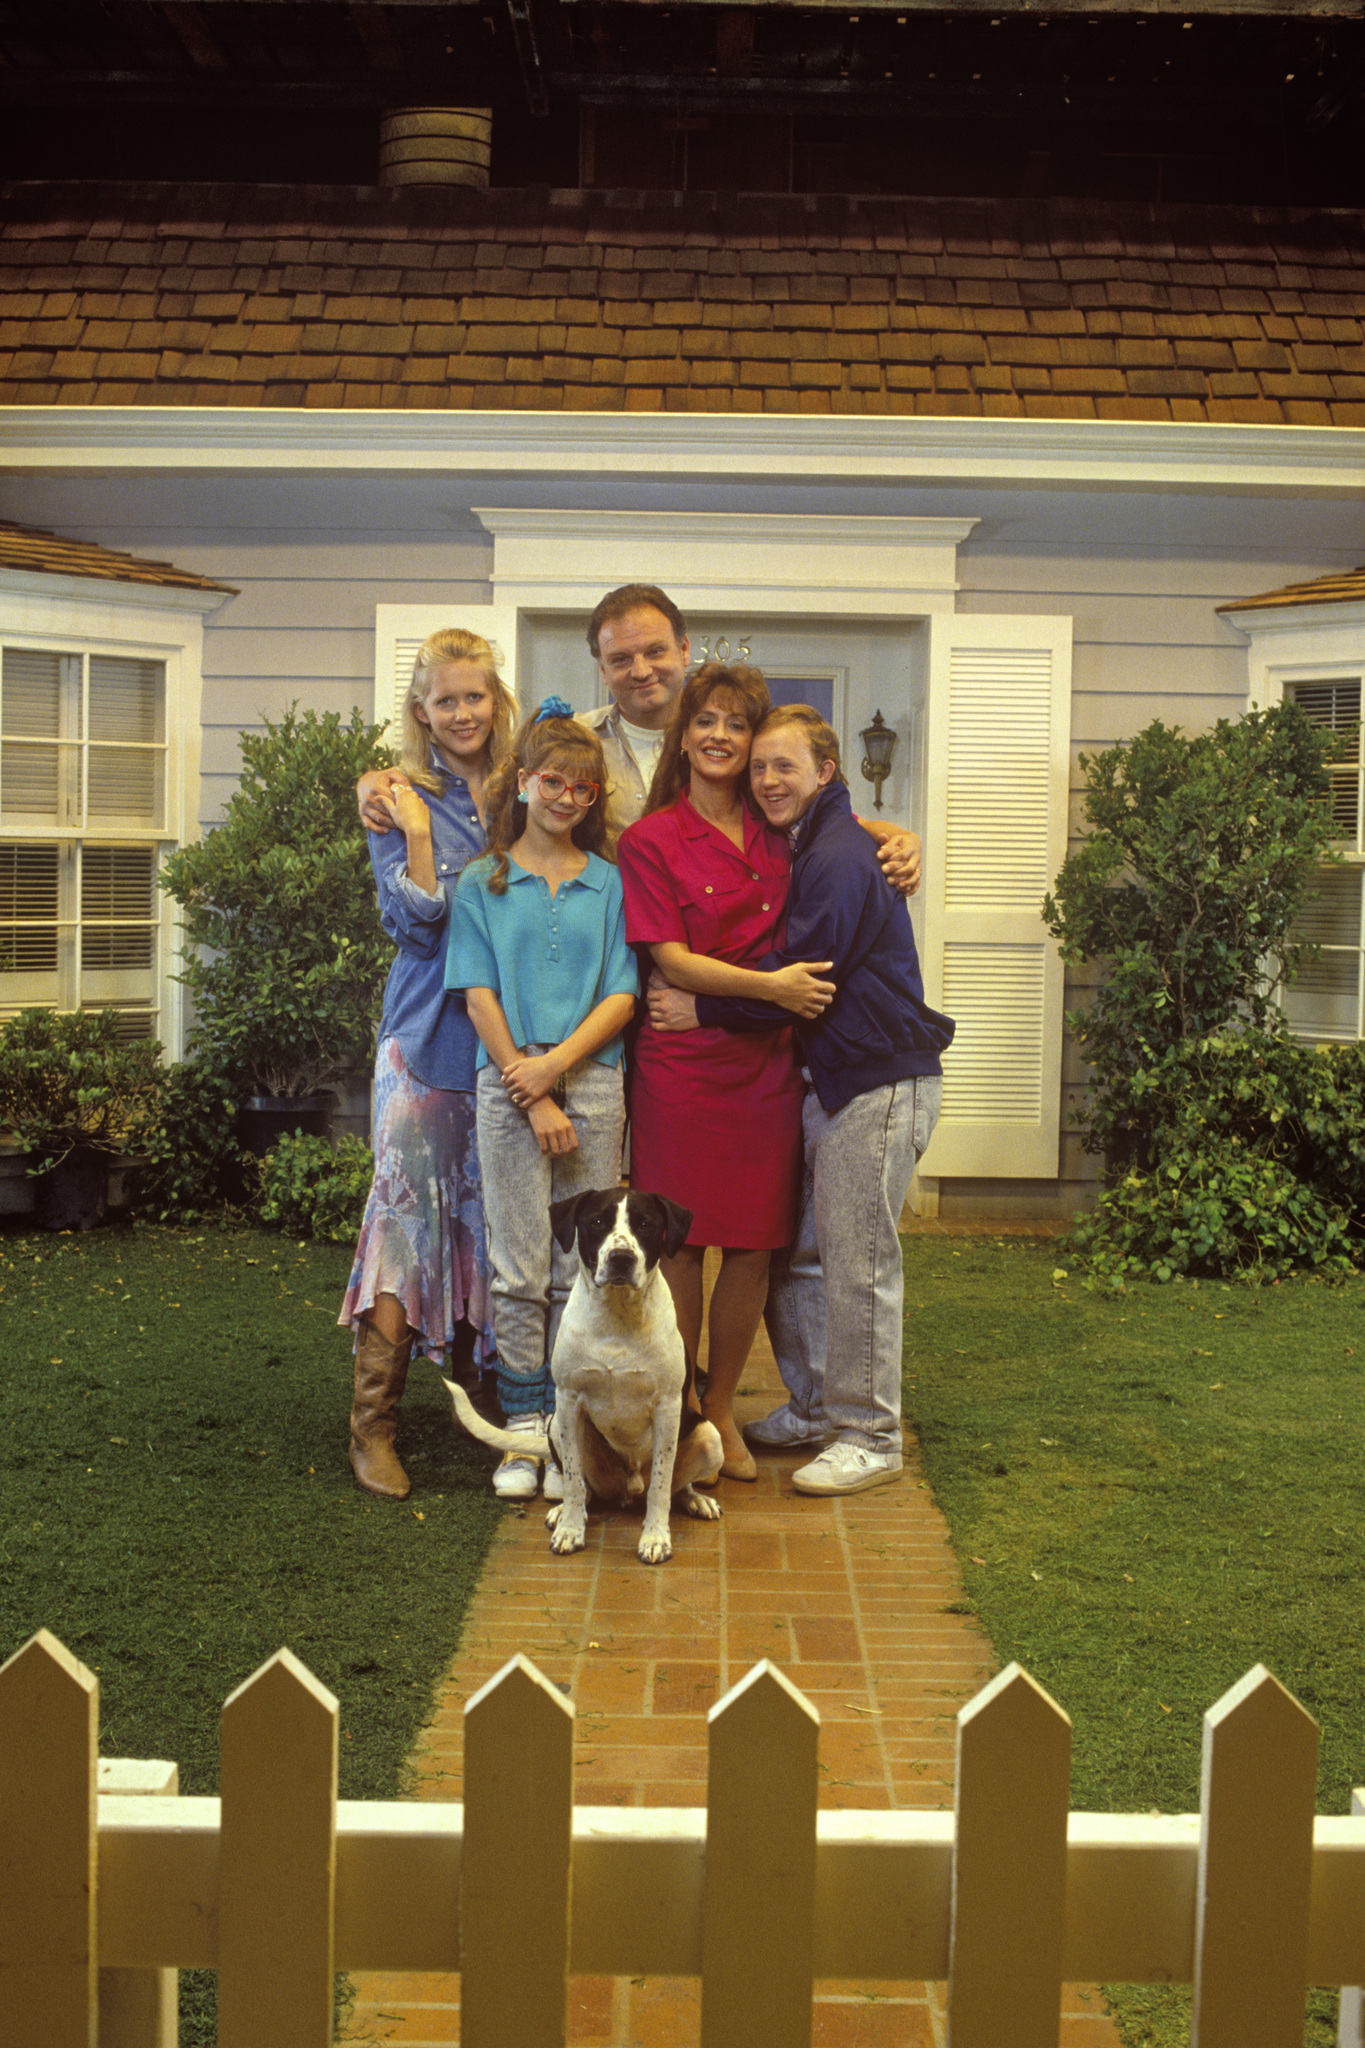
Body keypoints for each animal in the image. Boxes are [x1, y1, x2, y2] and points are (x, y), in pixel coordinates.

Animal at [448, 1187, 724, 1564]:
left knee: (673, 1486)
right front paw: (570, 1528)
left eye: (645, 1224)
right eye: (596, 1222)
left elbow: (661, 1483)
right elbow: (574, 1477)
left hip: (710, 1437)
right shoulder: (568, 1400)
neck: (617, 1317)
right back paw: (562, 1511)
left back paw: (696, 1500)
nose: (621, 1257)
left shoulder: (668, 1407)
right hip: (556, 1427)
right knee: (582, 1486)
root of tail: (627, 1490)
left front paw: (655, 1537)